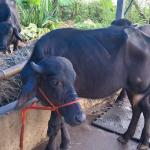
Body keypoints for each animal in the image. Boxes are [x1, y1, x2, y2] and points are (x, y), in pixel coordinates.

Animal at [16, 22, 150, 149]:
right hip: (131, 88)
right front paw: (65, 142)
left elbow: (54, 126)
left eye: (73, 79)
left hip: (141, 88)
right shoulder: (60, 105)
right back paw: (126, 136)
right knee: (137, 109)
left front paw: (52, 147)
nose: (81, 118)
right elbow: (63, 121)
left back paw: (143, 142)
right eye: (55, 82)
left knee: (146, 110)